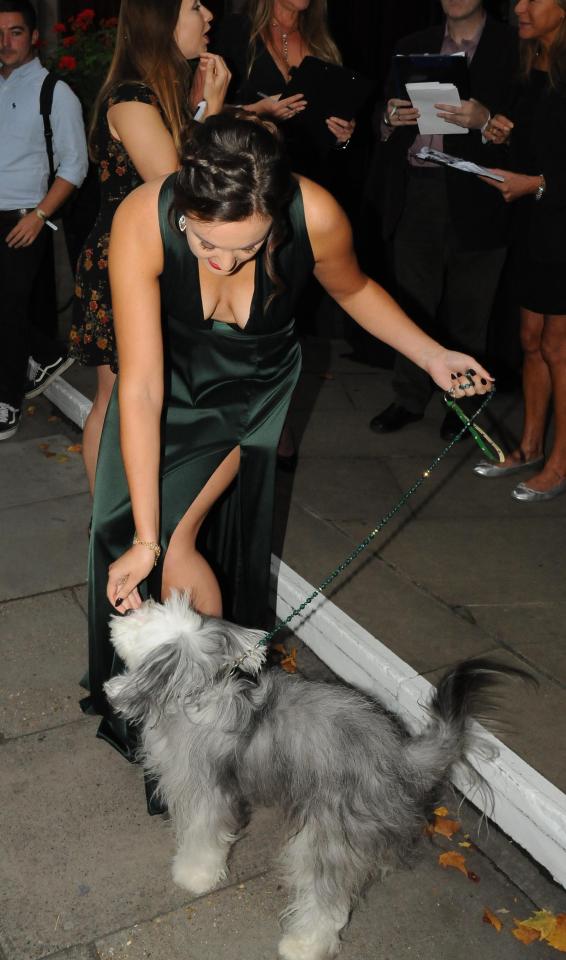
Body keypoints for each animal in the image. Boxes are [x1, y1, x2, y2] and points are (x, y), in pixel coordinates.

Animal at [104, 592, 532, 960]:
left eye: (145, 621)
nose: (126, 608)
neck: (198, 692)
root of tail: (398, 753)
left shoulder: (207, 793)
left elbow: (203, 838)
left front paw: (194, 875)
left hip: (327, 837)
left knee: (327, 902)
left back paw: (302, 945)